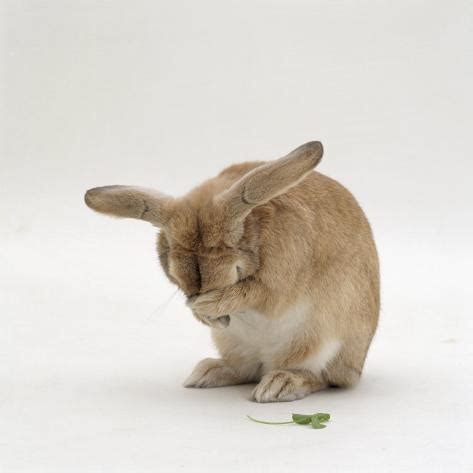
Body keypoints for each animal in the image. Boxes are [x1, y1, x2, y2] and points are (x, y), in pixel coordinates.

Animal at [85, 141, 380, 402]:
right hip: (234, 345)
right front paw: (202, 313)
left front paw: (208, 305)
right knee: (246, 370)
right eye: (176, 276)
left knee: (320, 377)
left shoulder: (278, 283)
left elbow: (258, 294)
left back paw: (278, 385)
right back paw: (205, 373)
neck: (254, 234)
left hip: (321, 343)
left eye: (235, 272)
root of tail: (355, 368)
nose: (222, 321)